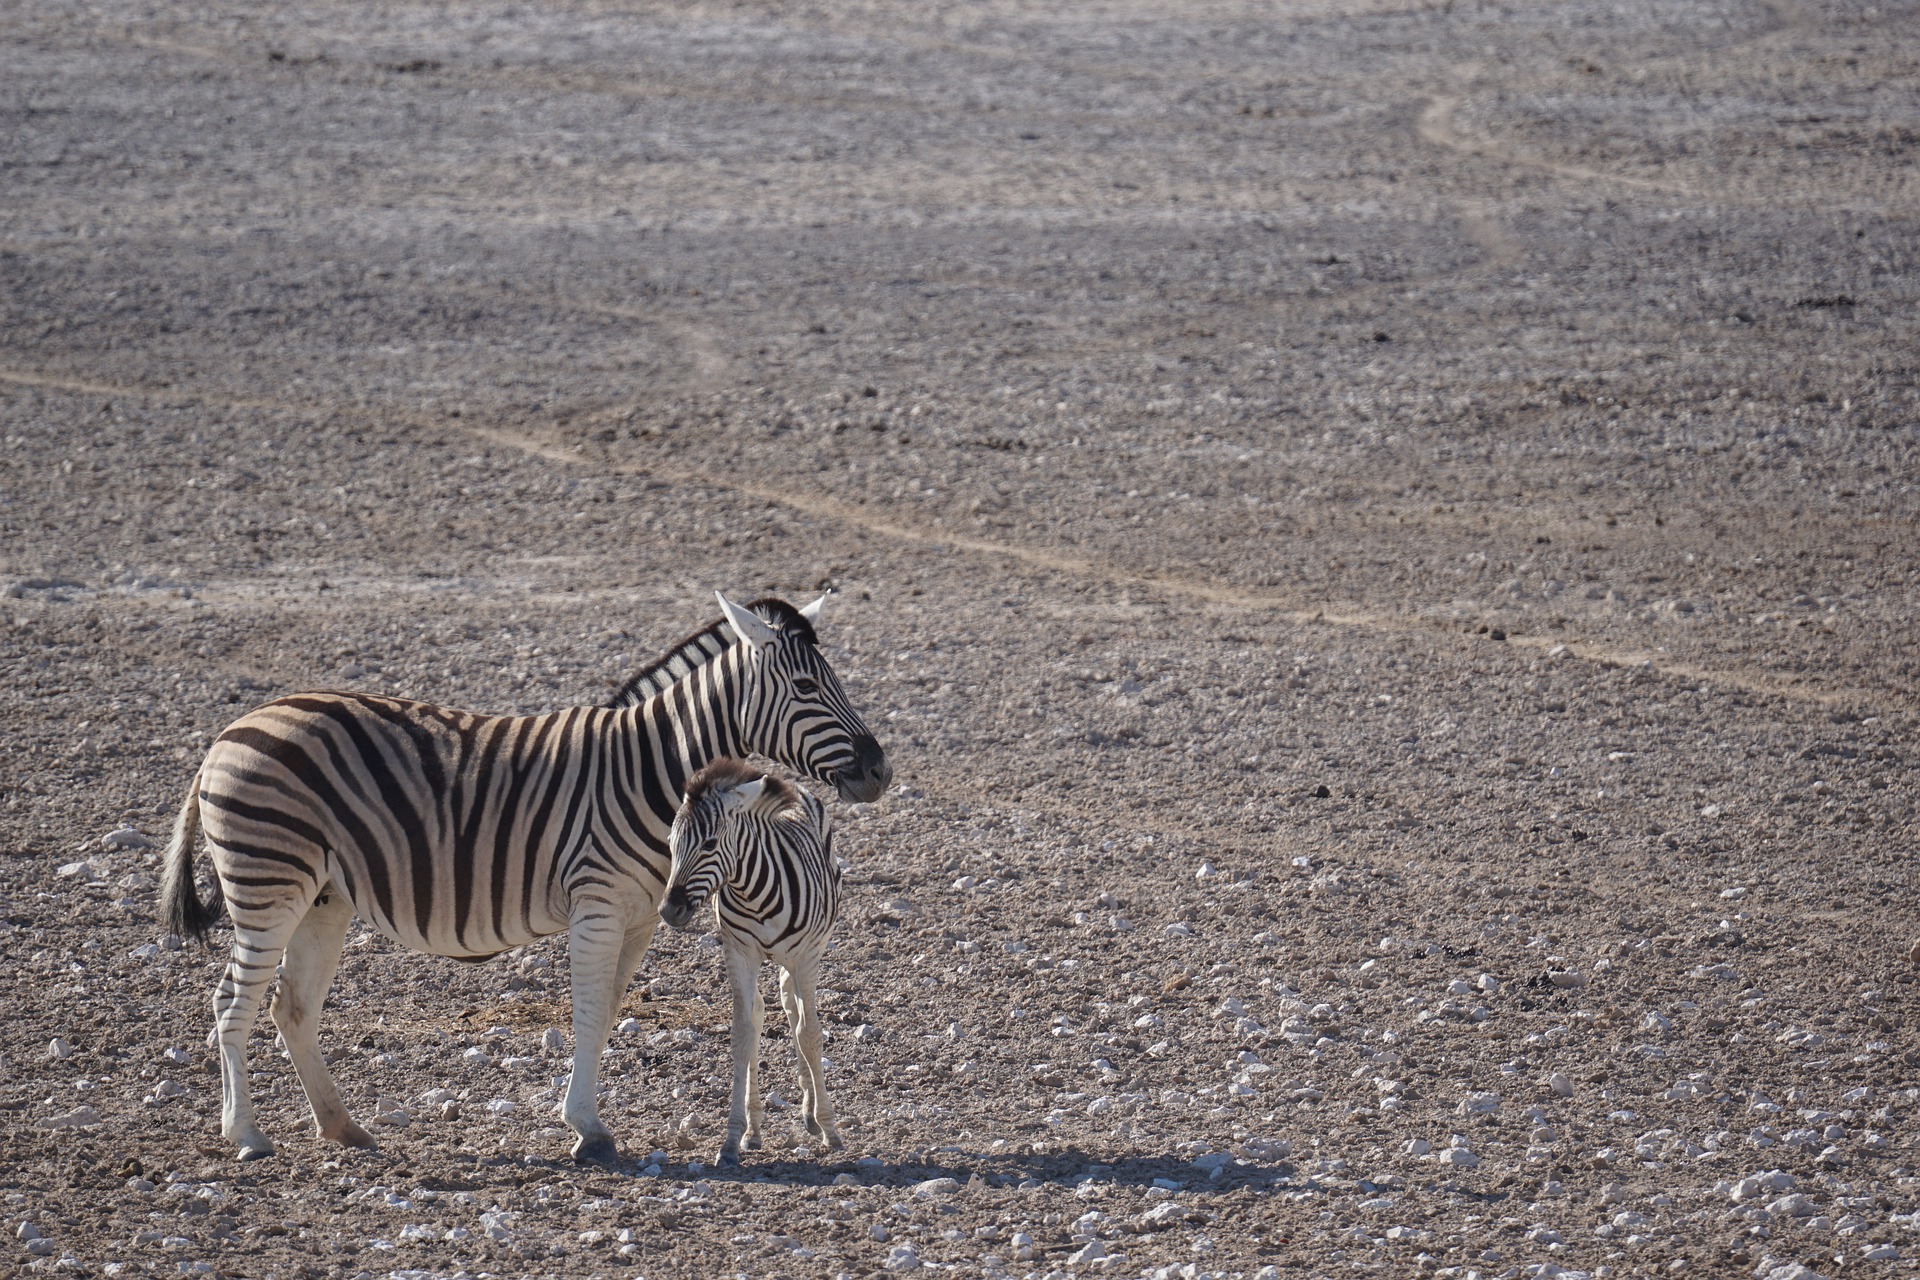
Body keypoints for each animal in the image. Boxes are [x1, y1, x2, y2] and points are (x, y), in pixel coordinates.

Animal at [660, 759, 840, 1174]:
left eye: (709, 844)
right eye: (670, 844)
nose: (669, 910)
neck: (754, 893)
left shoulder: (806, 956)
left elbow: (810, 1034)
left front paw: (829, 1127)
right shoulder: (739, 952)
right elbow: (744, 1035)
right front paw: (732, 1139)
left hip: (807, 953)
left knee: (795, 1011)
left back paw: (811, 1112)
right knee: (766, 1012)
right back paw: (757, 1129)